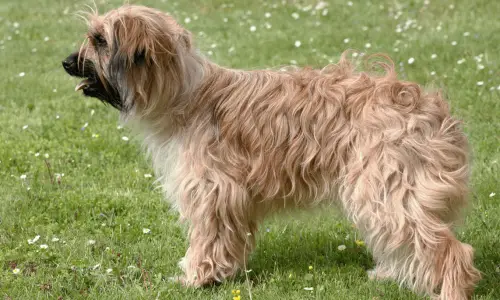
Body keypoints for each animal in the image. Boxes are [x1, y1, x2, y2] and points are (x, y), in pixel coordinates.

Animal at [61, 5, 480, 300]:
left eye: (99, 40)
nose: (66, 62)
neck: (182, 92)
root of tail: (431, 109)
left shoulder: (212, 189)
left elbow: (208, 236)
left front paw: (196, 277)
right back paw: (392, 273)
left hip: (387, 185)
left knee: (450, 249)